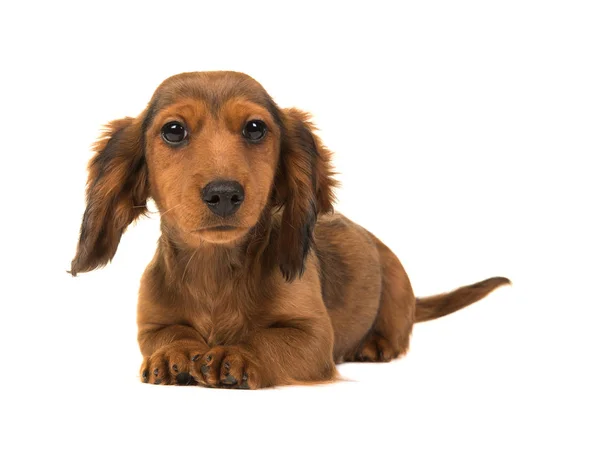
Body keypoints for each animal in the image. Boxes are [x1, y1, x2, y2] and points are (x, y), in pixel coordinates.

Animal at [71, 72, 510, 388]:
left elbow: (269, 338)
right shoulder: (153, 325)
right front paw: (173, 354)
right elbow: (168, 335)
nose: (224, 194)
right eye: (173, 130)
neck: (215, 270)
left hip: (396, 291)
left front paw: (238, 354)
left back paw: (375, 344)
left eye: (255, 128)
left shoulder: (314, 336)